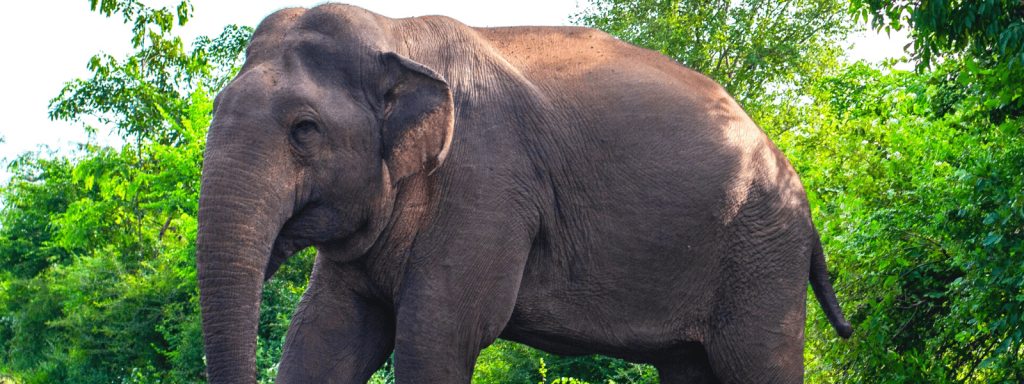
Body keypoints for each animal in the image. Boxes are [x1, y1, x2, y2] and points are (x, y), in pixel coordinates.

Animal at [195, 3, 851, 384]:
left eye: (304, 129)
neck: (396, 32)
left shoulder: (489, 184)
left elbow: (438, 336)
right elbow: (325, 334)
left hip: (763, 256)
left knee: (757, 363)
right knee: (690, 367)